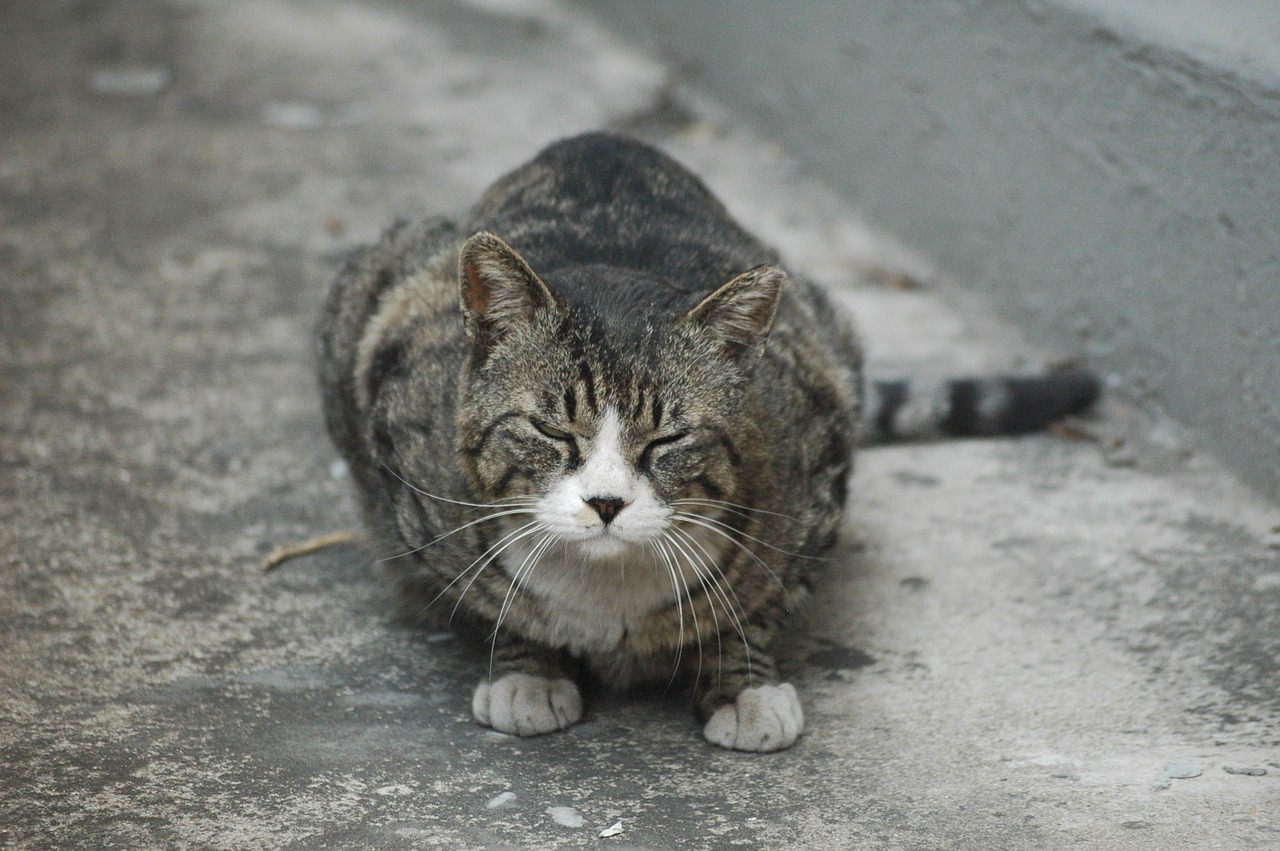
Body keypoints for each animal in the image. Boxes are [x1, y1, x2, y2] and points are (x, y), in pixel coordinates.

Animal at [312, 133, 1100, 752]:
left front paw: (741, 682)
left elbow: (760, 604)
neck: (608, 594)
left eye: (669, 437)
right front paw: (527, 667)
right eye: (552, 429)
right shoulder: (399, 439)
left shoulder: (819, 445)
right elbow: (490, 603)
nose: (606, 502)